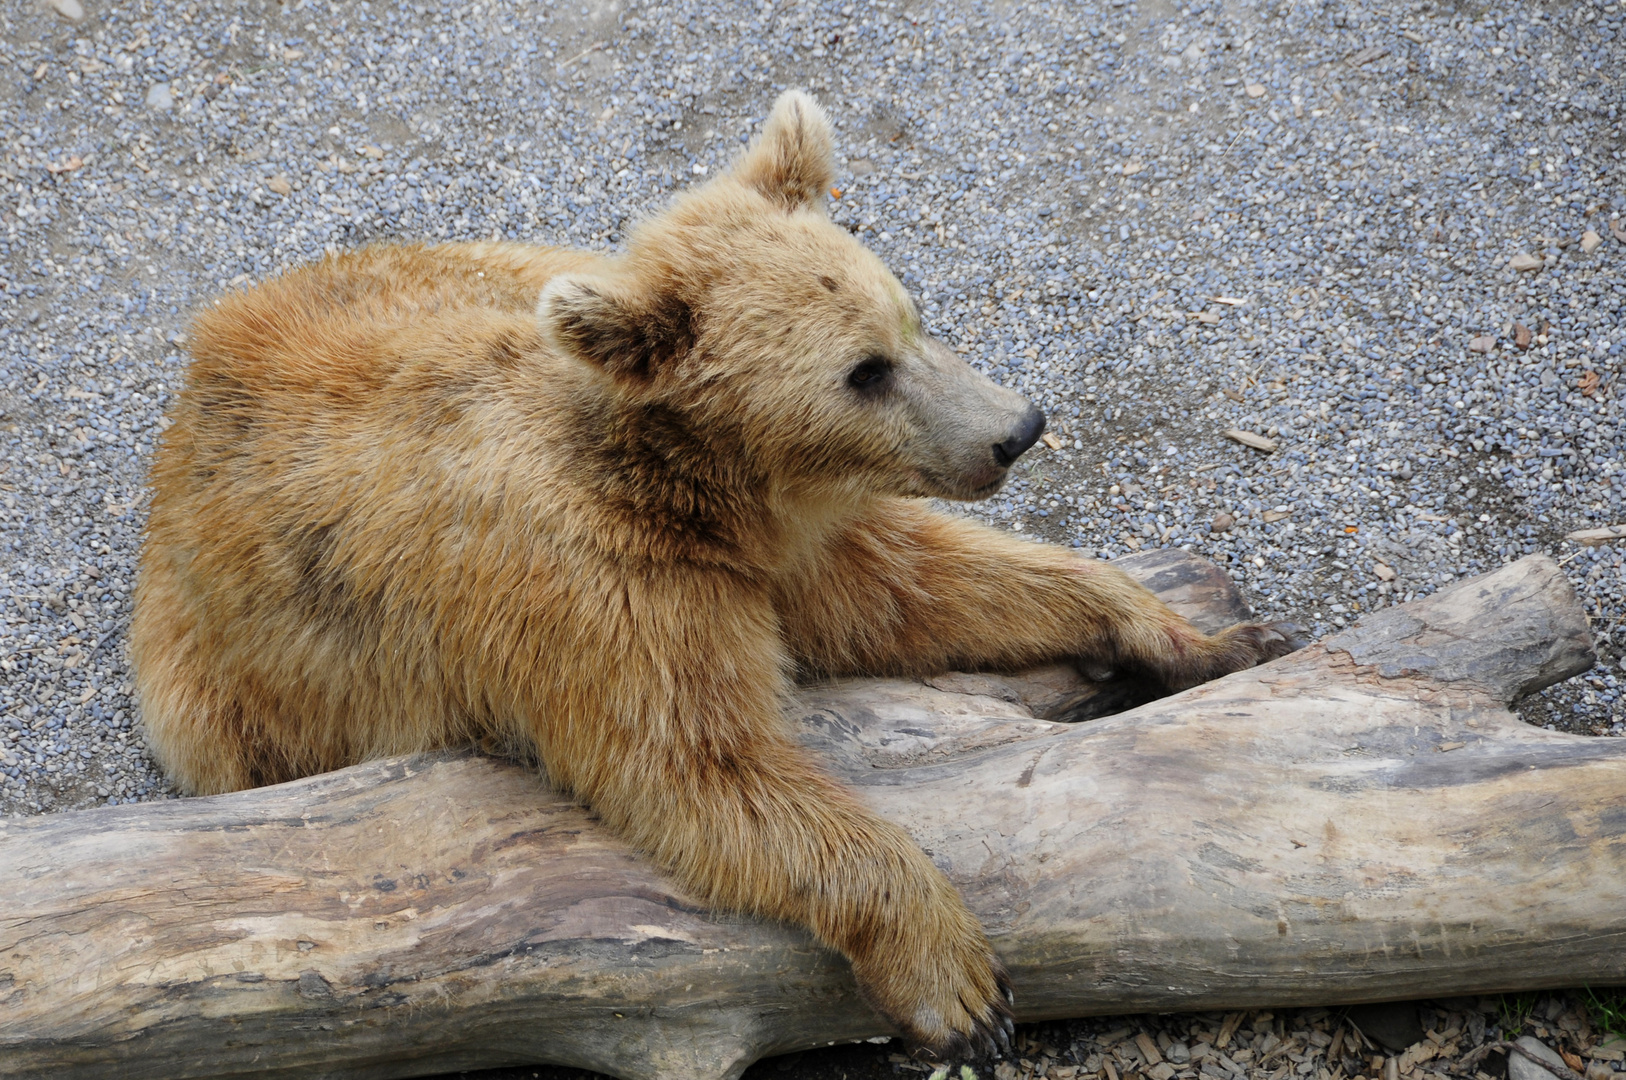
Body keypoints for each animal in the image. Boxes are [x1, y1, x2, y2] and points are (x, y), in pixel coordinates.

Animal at [130, 88, 1294, 1060]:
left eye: (906, 314)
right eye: (861, 371)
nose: (1016, 428)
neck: (702, 496)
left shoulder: (787, 549)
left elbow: (924, 584)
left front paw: (1197, 635)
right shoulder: (603, 599)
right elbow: (708, 769)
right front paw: (958, 985)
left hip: (473, 263)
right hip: (221, 696)